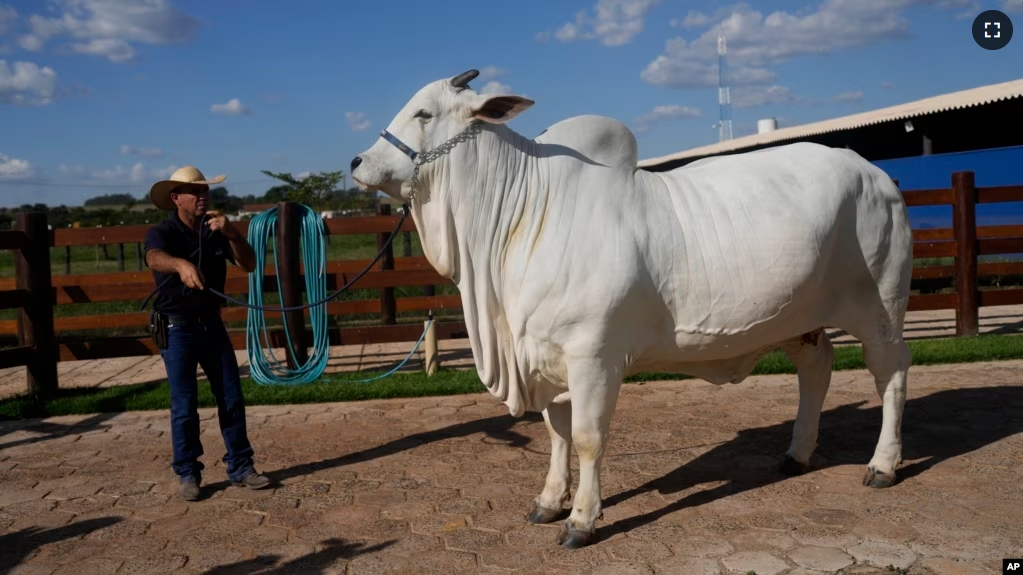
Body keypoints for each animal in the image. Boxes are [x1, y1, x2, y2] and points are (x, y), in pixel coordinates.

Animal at [356, 69, 916, 544]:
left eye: (424, 113)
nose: (358, 163)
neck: (523, 218)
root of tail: (875, 174)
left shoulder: (593, 357)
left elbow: (587, 438)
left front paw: (582, 519)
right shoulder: (546, 355)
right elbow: (556, 434)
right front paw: (549, 501)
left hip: (881, 310)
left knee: (890, 374)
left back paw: (883, 465)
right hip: (801, 320)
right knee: (816, 368)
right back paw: (797, 454)